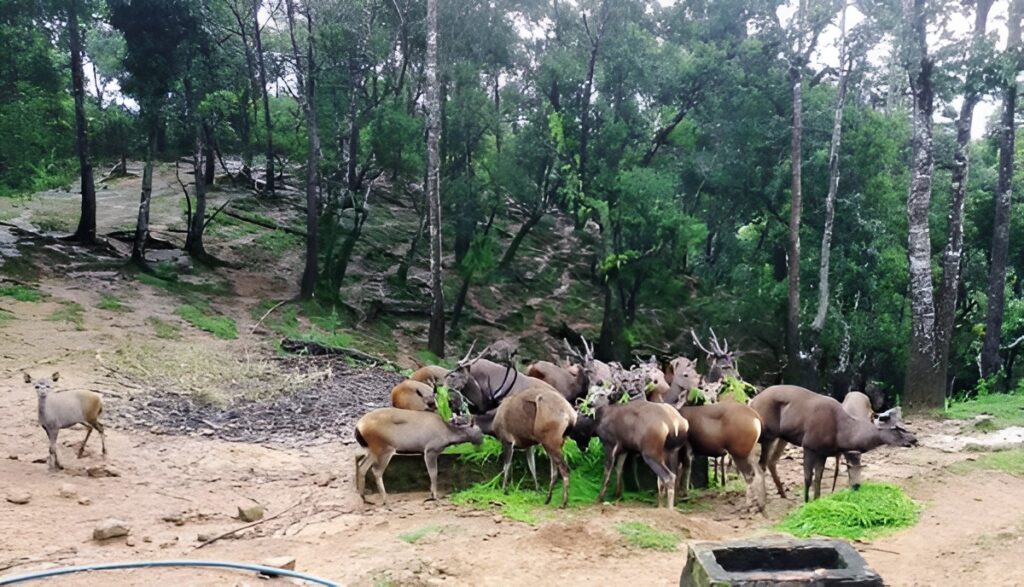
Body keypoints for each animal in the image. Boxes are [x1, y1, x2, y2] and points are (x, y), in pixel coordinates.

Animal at [354, 409, 483, 505]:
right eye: (479, 431)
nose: (482, 441)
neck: (447, 435)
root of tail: (358, 427)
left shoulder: (423, 452)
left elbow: (428, 473)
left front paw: (431, 494)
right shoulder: (430, 450)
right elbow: (433, 473)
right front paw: (435, 496)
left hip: (372, 449)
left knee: (362, 466)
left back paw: (364, 497)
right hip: (384, 448)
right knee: (376, 471)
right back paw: (385, 500)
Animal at [750, 385, 917, 502]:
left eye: (903, 424)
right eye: (896, 428)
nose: (914, 439)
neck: (841, 434)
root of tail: (752, 401)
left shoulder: (822, 452)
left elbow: (818, 477)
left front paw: (817, 500)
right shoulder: (809, 445)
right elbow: (808, 477)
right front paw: (806, 503)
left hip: (777, 437)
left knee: (768, 462)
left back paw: (782, 494)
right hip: (767, 435)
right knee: (761, 463)